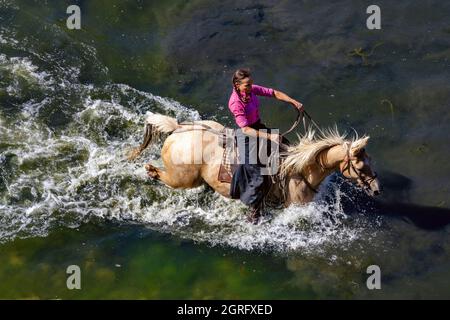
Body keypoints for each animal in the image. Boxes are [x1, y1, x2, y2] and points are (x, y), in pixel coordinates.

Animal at [129, 114, 380, 206]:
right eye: (359, 165)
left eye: (370, 159)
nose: (377, 189)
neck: (299, 170)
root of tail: (178, 129)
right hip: (181, 179)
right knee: (158, 173)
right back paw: (149, 171)